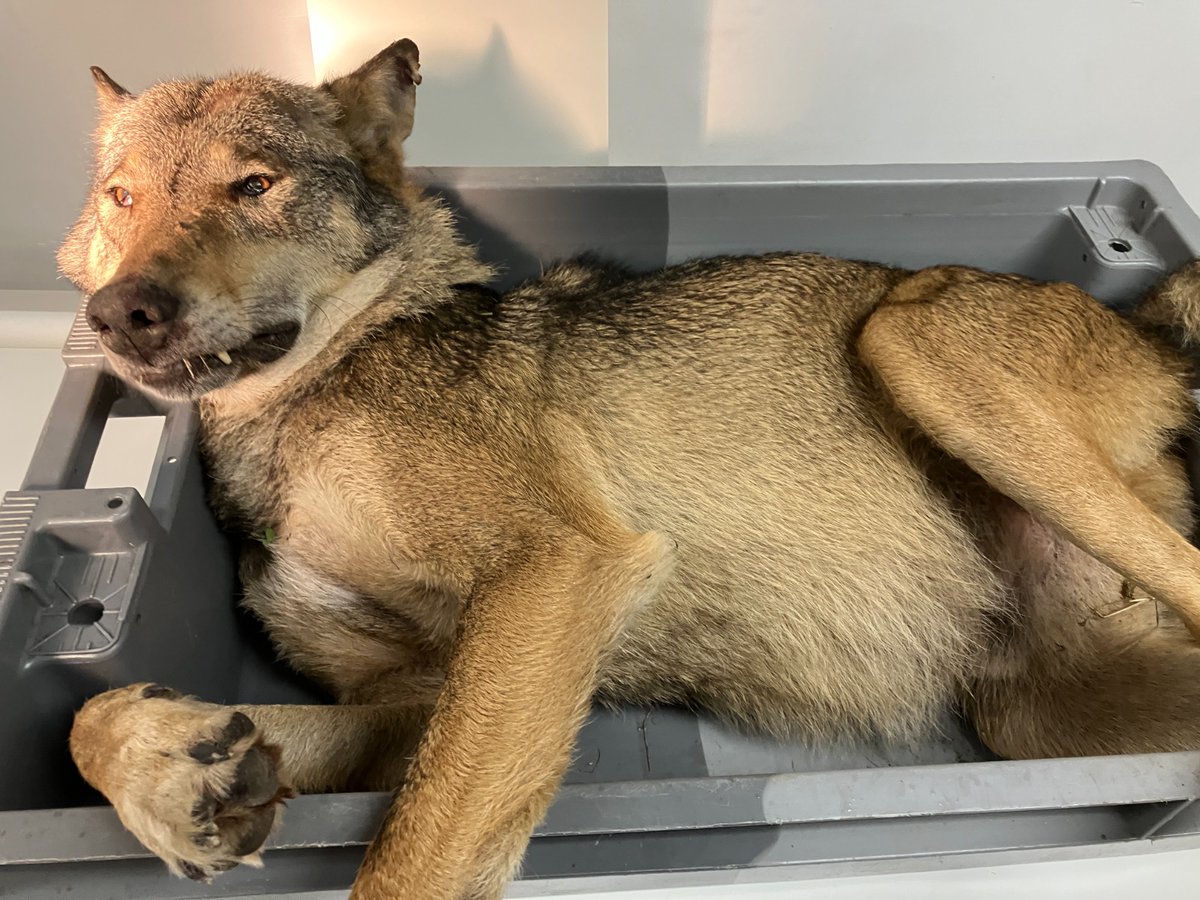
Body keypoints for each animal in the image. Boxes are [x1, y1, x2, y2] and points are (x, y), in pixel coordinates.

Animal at [60, 38, 1200, 900]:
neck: (311, 393)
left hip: (916, 345)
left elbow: (411, 860)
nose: (118, 312)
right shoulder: (421, 698)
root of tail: (1147, 325)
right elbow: (87, 722)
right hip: (1046, 708)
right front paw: (175, 768)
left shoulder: (552, 575)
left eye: (255, 186)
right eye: (120, 198)